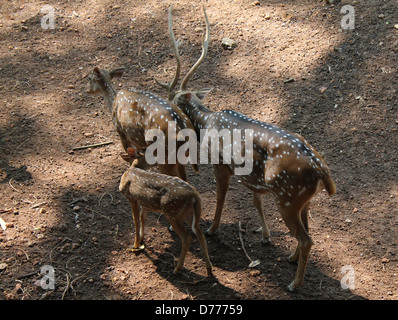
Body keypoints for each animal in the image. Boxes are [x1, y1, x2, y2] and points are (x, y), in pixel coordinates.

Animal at [155, 5, 336, 292]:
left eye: (171, 98)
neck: (206, 122)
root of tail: (323, 174)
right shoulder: (251, 178)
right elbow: (255, 200)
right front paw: (265, 235)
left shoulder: (220, 164)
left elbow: (220, 197)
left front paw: (212, 229)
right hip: (303, 200)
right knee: (308, 233)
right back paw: (291, 257)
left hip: (287, 197)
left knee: (307, 239)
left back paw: (294, 284)